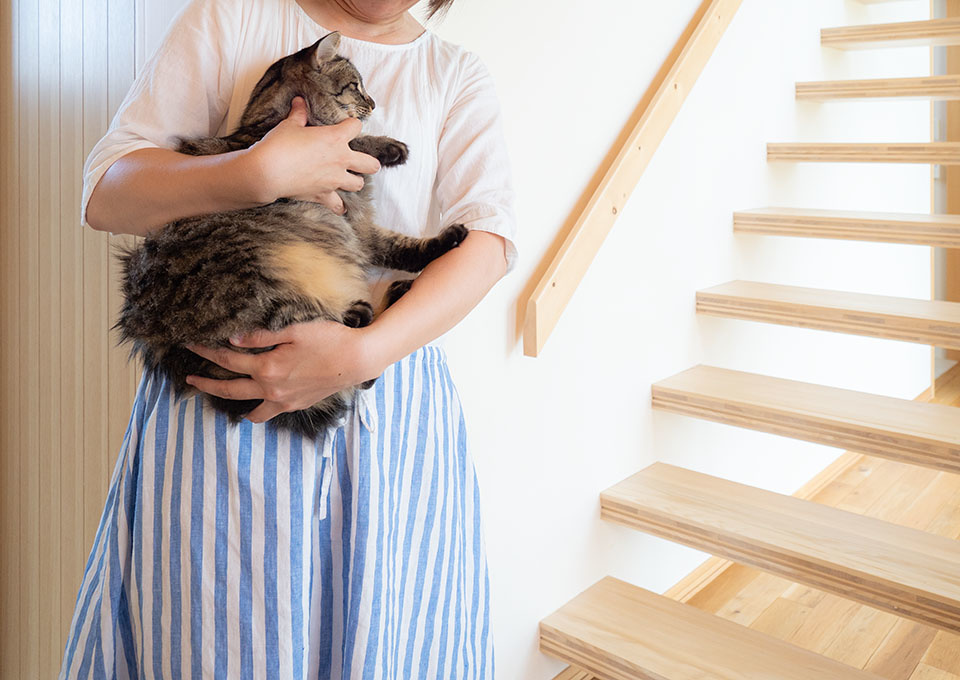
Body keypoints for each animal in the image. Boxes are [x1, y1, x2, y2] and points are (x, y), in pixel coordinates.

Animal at [114, 30, 466, 436]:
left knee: (363, 364)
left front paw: (447, 237)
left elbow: (402, 246)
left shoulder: (359, 228)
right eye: (356, 86)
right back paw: (367, 308)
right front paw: (389, 147)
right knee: (350, 358)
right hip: (263, 290)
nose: (374, 103)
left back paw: (395, 291)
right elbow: (353, 144)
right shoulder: (331, 181)